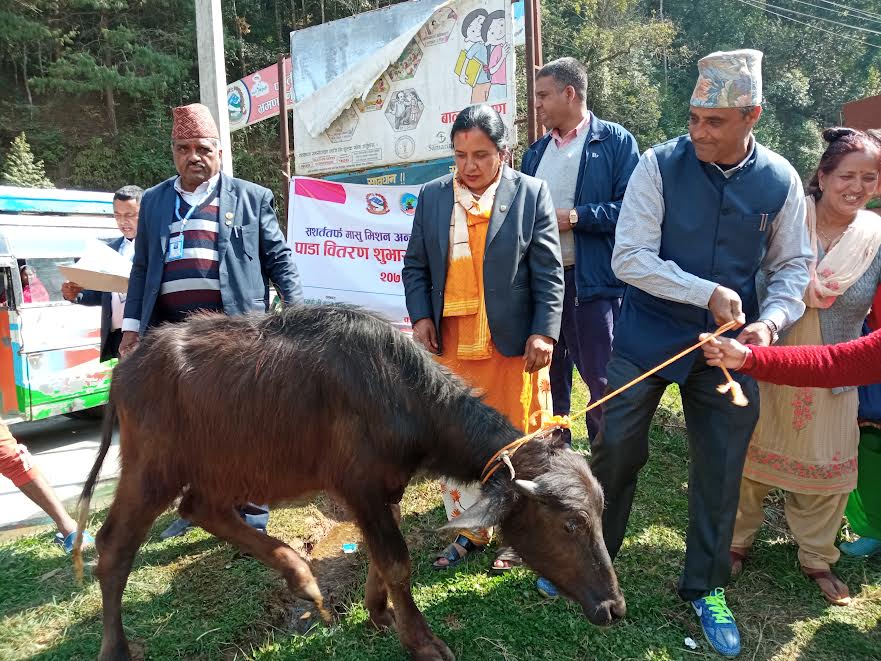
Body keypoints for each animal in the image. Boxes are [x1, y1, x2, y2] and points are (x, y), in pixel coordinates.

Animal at [77, 306, 624, 656]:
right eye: (570, 524)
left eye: (600, 515)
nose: (614, 607)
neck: (401, 394)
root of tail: (127, 367)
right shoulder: (359, 488)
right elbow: (397, 561)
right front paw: (421, 640)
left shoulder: (384, 489)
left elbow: (380, 555)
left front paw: (378, 612)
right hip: (150, 471)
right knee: (113, 546)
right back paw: (115, 647)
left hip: (225, 469)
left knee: (199, 509)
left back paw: (301, 576)